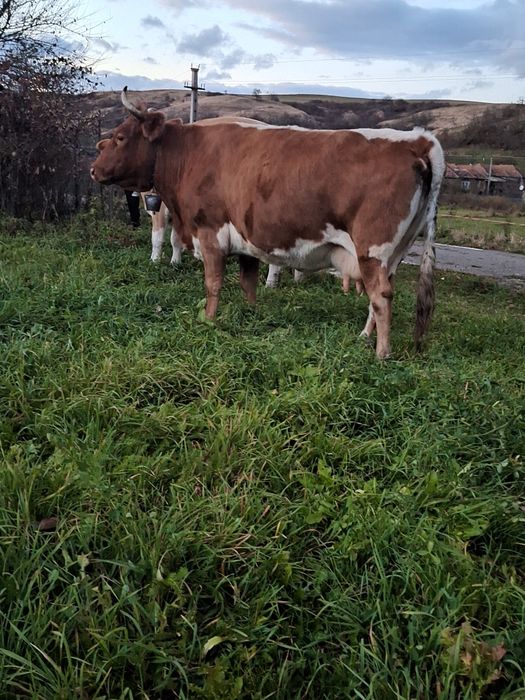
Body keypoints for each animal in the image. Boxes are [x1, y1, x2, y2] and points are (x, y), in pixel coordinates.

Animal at [91, 88, 445, 358]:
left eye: (120, 137)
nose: (93, 169)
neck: (189, 151)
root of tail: (418, 139)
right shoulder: (246, 240)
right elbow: (247, 283)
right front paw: (250, 315)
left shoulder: (210, 232)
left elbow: (213, 283)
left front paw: (208, 320)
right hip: (394, 251)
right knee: (380, 293)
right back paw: (364, 337)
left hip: (373, 248)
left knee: (381, 296)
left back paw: (381, 353)